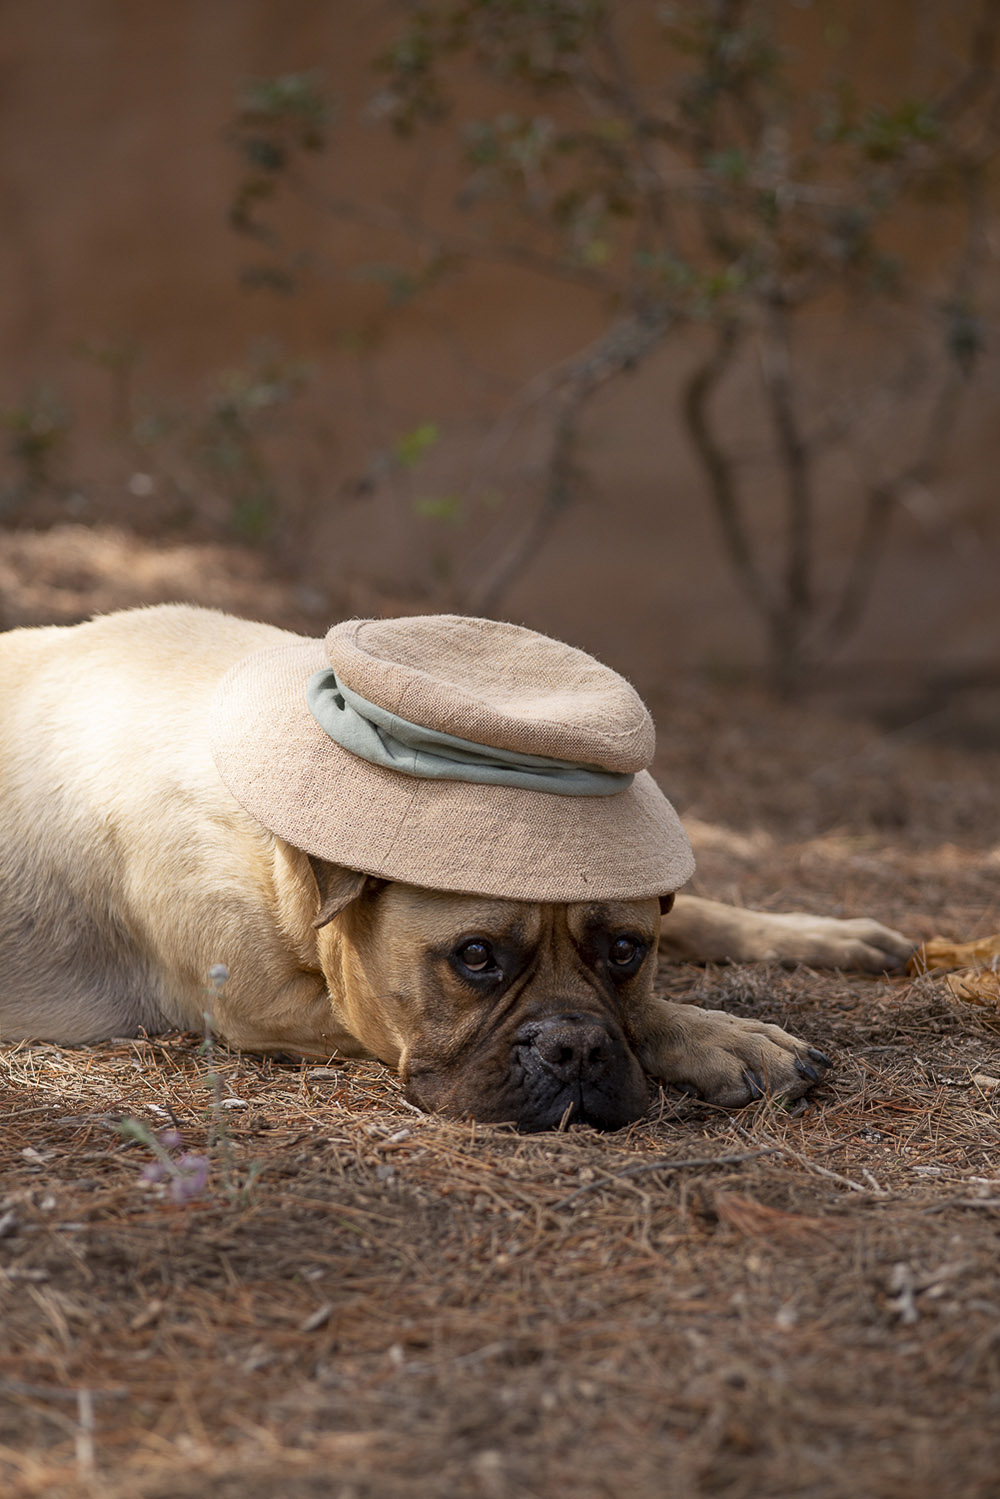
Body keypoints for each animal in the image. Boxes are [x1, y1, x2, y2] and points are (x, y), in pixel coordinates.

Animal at [0, 602, 911, 1127]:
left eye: (625, 950)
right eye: (475, 957)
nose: (575, 1048)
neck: (281, 856)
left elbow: (703, 919)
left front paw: (825, 934)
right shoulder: (268, 1005)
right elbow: (655, 1015)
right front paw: (723, 1034)